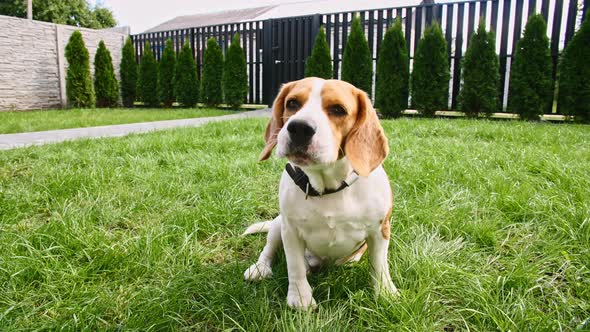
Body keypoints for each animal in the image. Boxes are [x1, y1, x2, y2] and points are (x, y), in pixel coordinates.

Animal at [243, 77, 400, 308]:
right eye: (292, 103)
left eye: (338, 109)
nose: (299, 128)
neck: (329, 188)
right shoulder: (290, 230)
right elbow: (295, 266)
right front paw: (300, 299)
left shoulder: (380, 230)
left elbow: (380, 265)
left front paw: (385, 292)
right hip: (278, 225)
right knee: (269, 251)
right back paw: (260, 268)